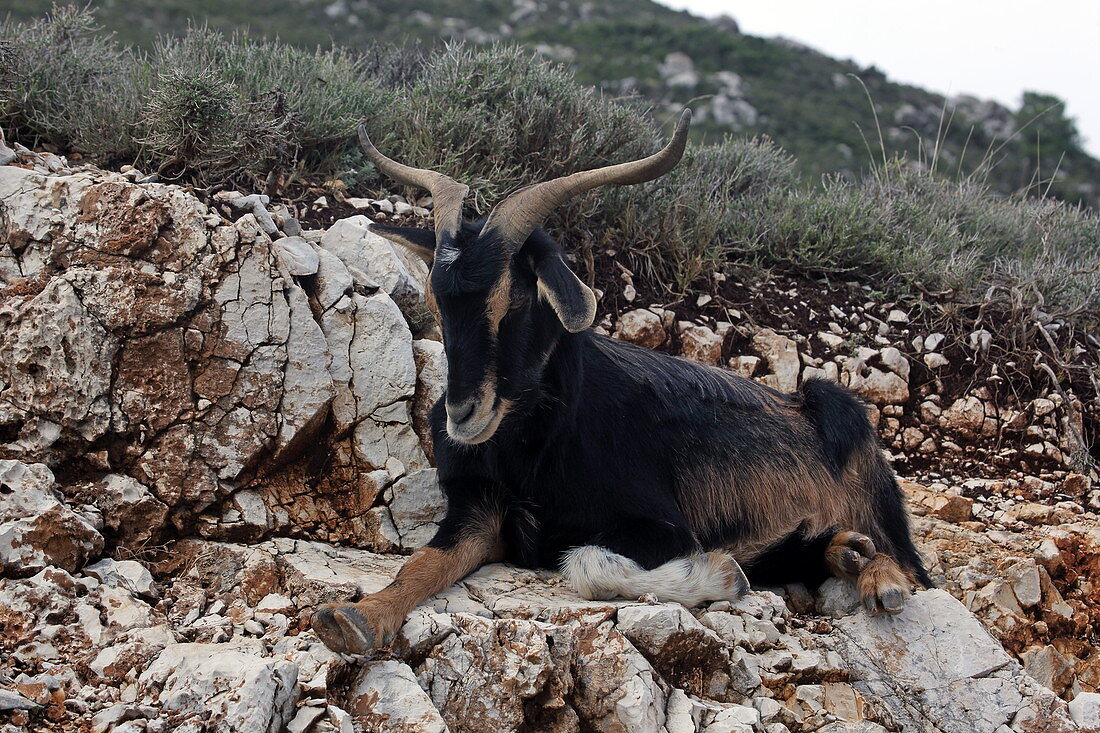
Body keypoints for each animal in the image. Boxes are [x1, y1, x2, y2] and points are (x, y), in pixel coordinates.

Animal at [310, 111, 928, 651]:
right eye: (439, 301)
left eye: (517, 300)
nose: (461, 415)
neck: (538, 444)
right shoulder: (479, 511)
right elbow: (422, 562)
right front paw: (353, 618)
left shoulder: (661, 527)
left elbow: (586, 562)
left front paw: (724, 575)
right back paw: (846, 552)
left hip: (852, 437)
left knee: (910, 562)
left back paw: (881, 580)